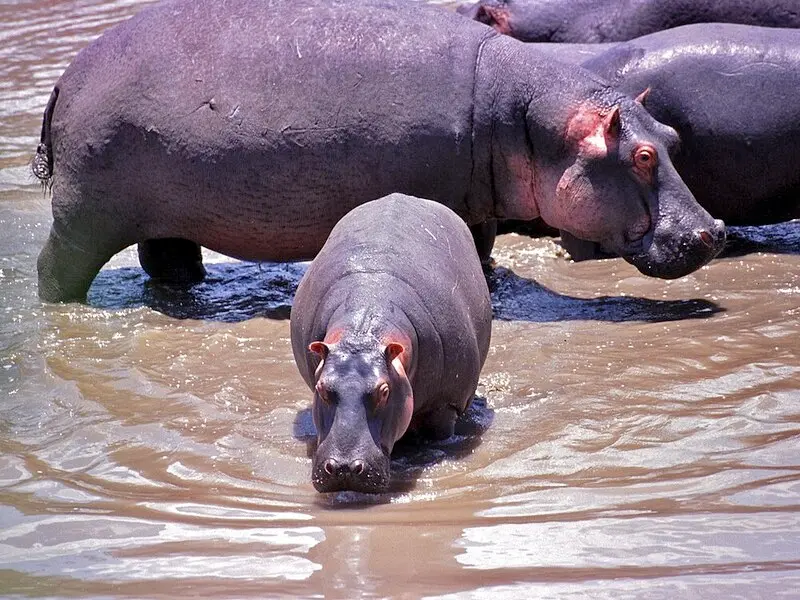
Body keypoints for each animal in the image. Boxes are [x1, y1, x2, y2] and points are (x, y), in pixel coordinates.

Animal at [32, 0, 724, 302]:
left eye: (671, 138)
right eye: (640, 156)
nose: (714, 231)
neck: (530, 120)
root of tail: (65, 79)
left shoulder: (474, 207)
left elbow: (481, 251)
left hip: (166, 213)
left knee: (167, 261)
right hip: (85, 215)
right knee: (55, 268)